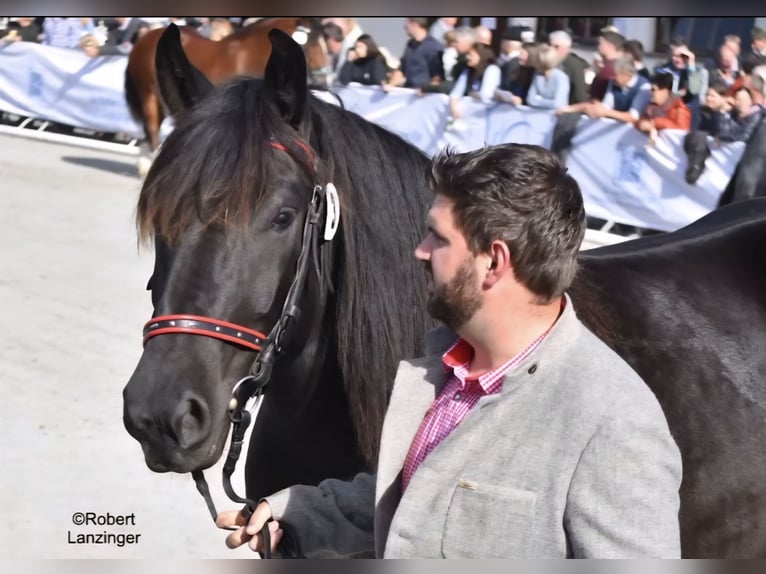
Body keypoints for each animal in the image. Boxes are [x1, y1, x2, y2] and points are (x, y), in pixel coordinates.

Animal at [124, 17, 330, 176]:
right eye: (312, 41)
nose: (326, 78)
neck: (247, 57)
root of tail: (144, 38)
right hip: (148, 95)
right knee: (152, 130)